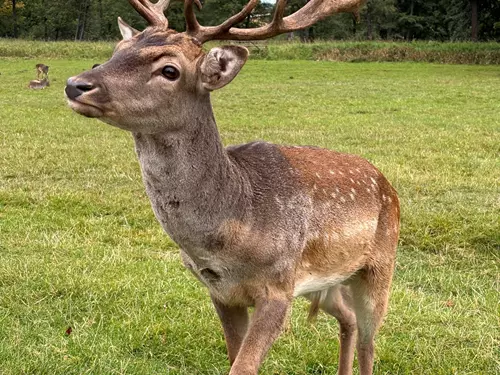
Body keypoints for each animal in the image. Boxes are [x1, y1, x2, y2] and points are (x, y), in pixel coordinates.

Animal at [64, 1, 400, 374]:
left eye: (170, 70)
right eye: (117, 50)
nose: (76, 84)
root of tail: (386, 182)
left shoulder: (279, 285)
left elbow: (243, 365)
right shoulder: (221, 292)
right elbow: (232, 357)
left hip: (380, 265)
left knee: (370, 340)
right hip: (326, 283)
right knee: (347, 320)